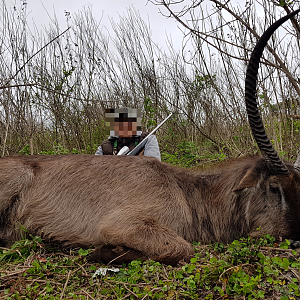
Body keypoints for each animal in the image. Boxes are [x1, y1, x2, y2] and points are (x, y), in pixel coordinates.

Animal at [0, 10, 300, 266]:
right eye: (274, 187)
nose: (295, 241)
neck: (187, 193)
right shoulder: (123, 223)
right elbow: (182, 249)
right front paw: (102, 252)